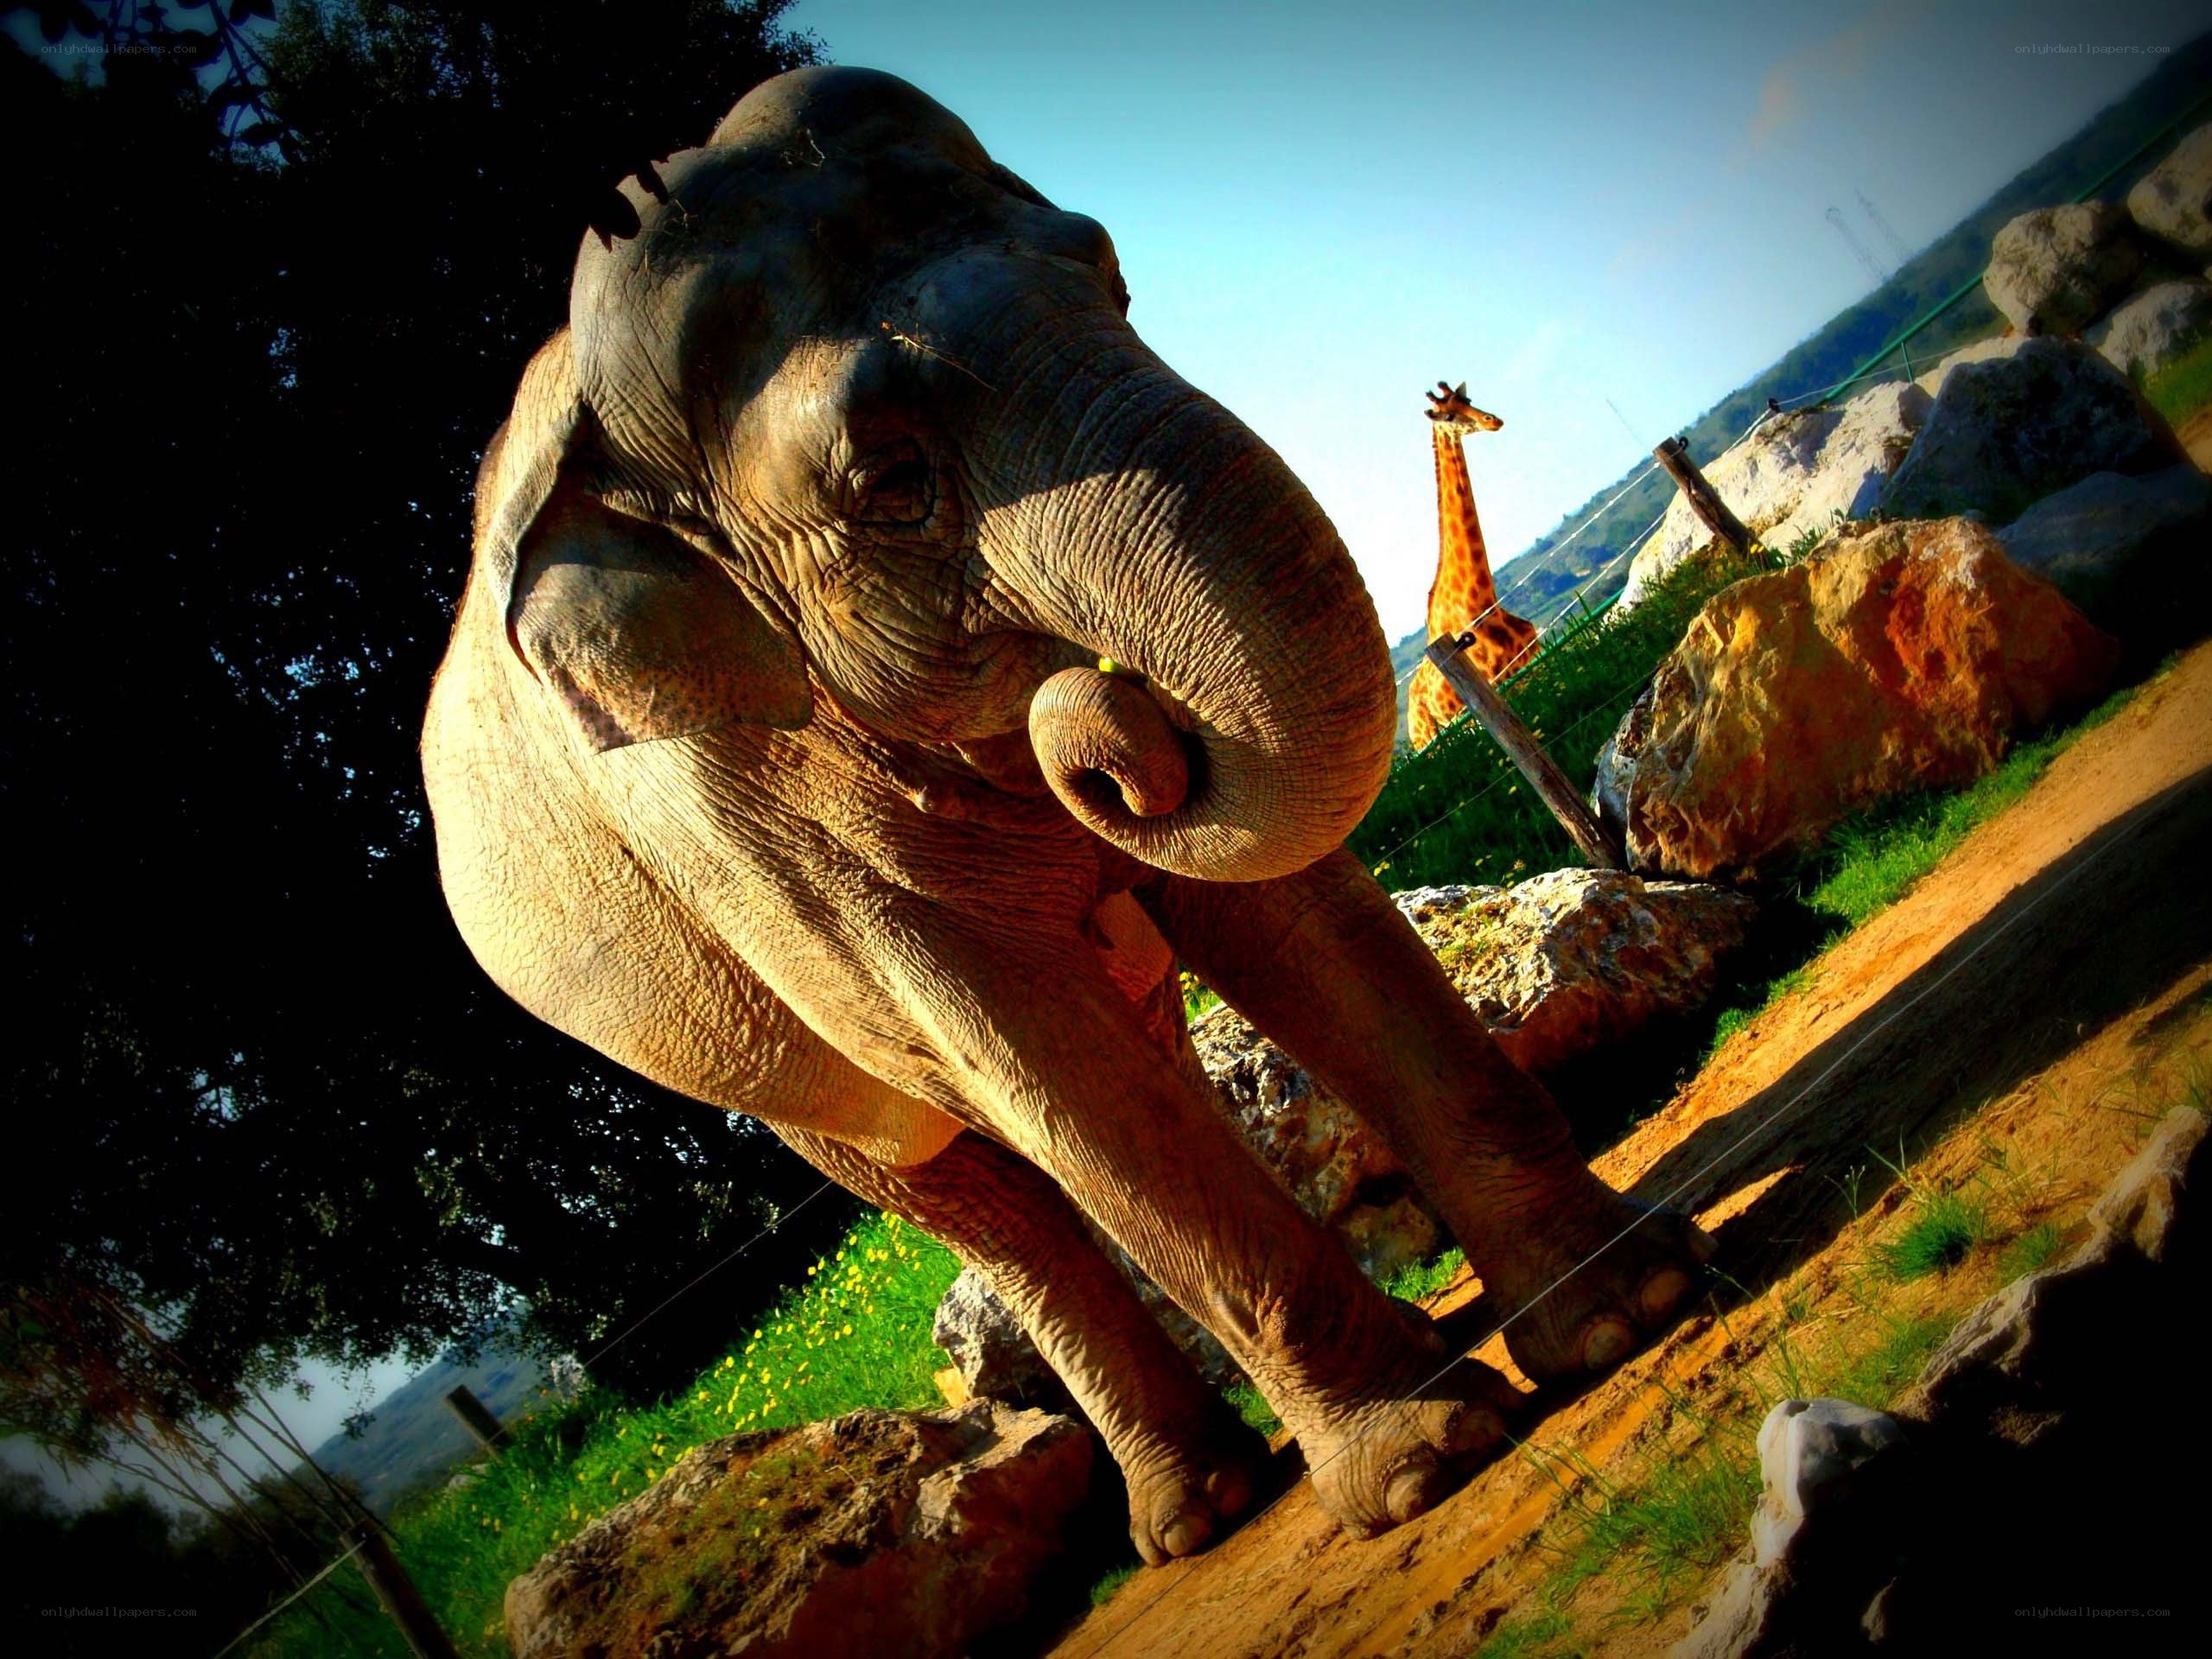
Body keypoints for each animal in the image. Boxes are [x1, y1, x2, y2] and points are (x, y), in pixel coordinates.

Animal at [1405, 381, 1541, 751]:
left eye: (1468, 399)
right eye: (1449, 416)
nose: (1492, 420)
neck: (1483, 603)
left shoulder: (1534, 657)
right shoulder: (1502, 681)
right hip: (1431, 740)